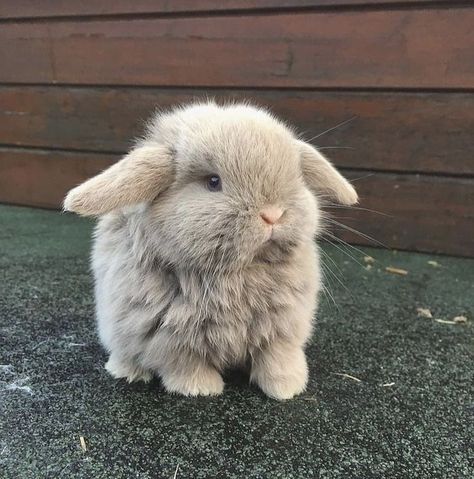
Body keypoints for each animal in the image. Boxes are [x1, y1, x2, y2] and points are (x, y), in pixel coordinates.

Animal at [63, 102, 356, 402]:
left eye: (296, 177)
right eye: (213, 182)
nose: (273, 215)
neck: (240, 272)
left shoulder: (281, 331)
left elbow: (277, 359)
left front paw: (287, 388)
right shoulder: (172, 339)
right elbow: (186, 365)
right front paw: (200, 389)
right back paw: (128, 372)